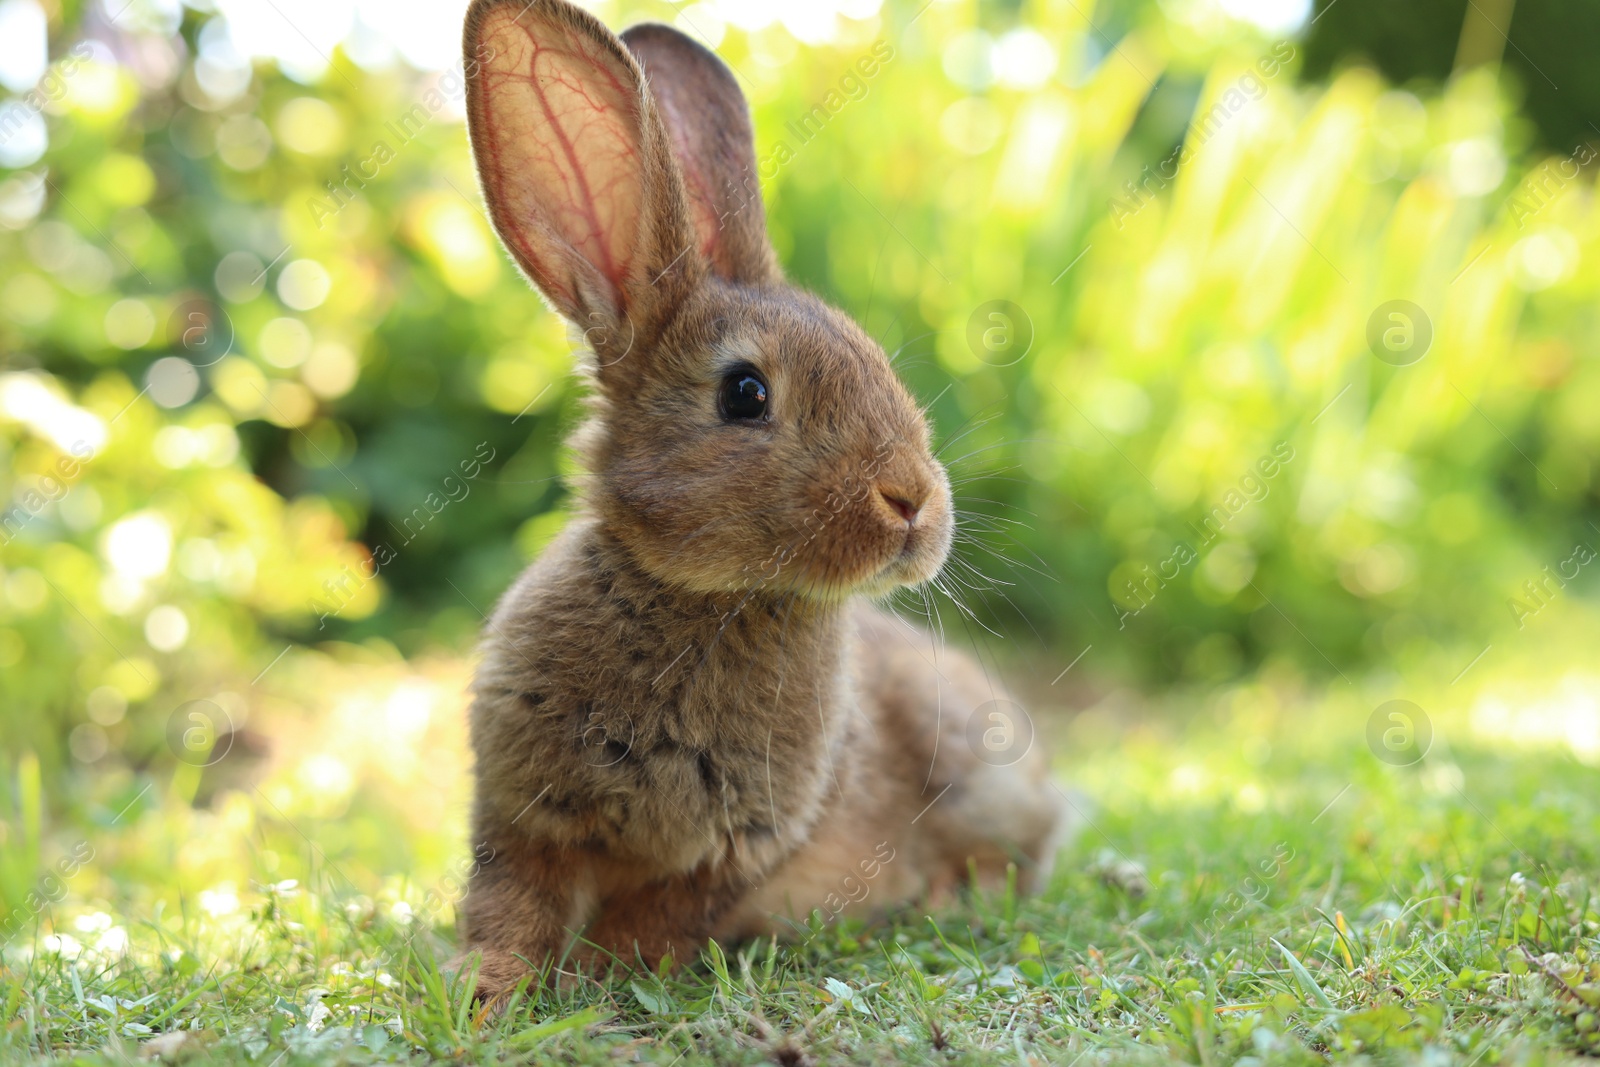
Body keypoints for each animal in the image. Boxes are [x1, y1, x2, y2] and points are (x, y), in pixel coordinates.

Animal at [451, 0, 1068, 1004]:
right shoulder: (521, 816)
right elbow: (511, 903)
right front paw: (488, 990)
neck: (710, 595)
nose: (914, 503)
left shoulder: (740, 849)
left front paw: (586, 983)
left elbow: (647, 921)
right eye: (745, 394)